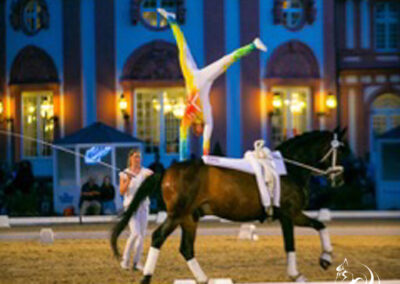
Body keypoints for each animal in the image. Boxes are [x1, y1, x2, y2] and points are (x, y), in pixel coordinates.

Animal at [111, 130, 348, 282]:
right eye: (341, 151)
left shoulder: (294, 215)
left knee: (186, 248)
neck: (288, 169)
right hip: (177, 215)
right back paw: (147, 277)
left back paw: (204, 280)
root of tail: (167, 171)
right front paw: (297, 274)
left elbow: (320, 226)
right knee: (159, 237)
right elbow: (292, 243)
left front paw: (326, 259)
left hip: (189, 218)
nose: (339, 180)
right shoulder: (289, 215)